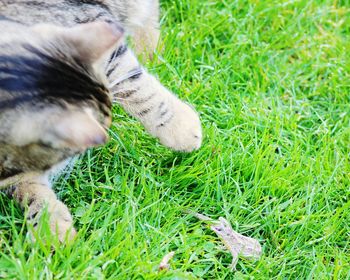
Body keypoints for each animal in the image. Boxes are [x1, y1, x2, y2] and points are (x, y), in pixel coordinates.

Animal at [0, 0, 202, 242]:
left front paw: (183, 128)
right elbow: (29, 189)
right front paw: (53, 230)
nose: (104, 134)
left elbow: (131, 80)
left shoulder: (86, 20)